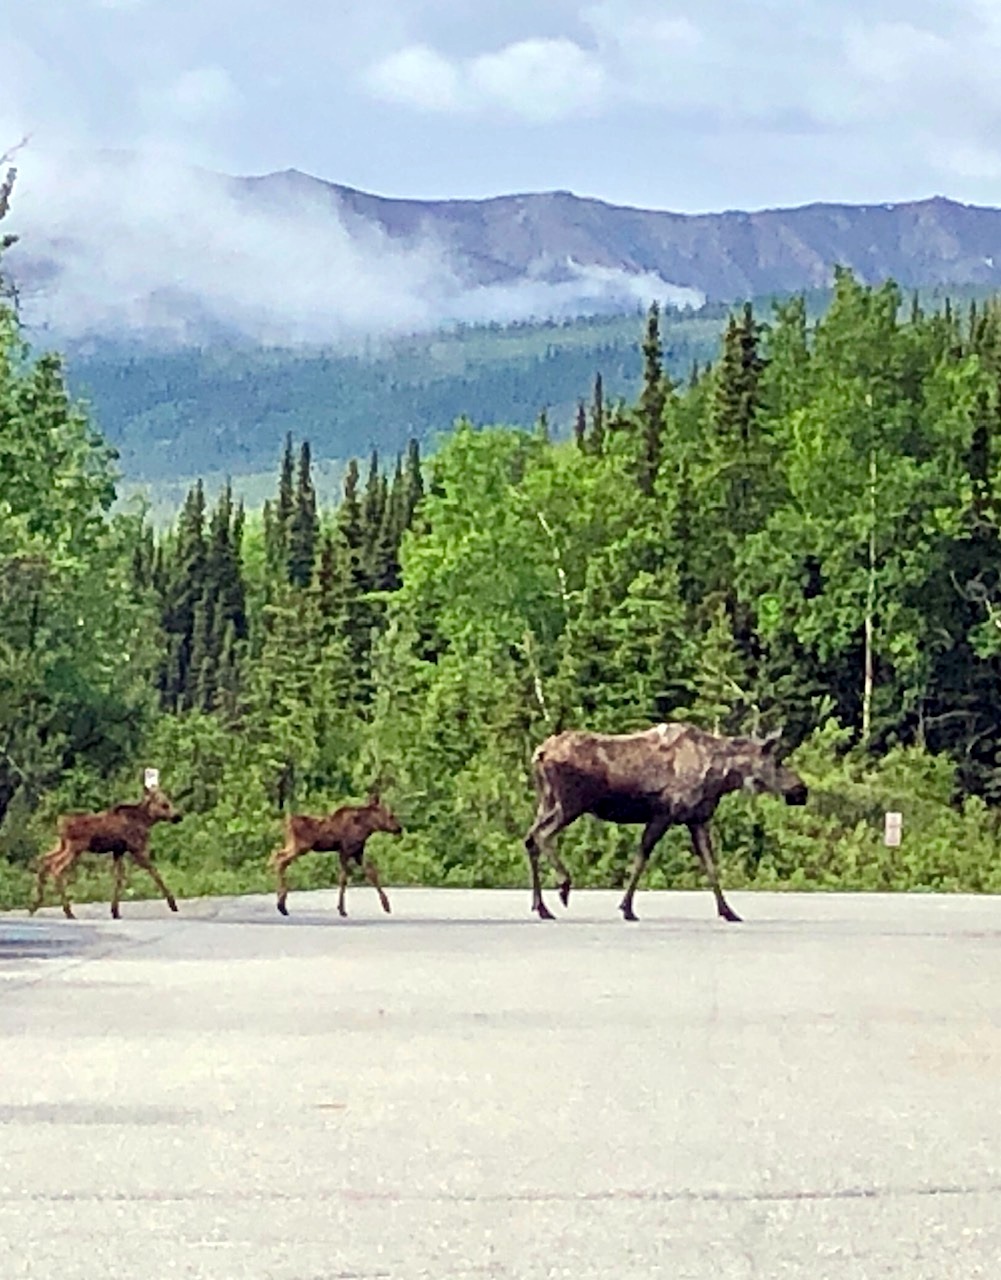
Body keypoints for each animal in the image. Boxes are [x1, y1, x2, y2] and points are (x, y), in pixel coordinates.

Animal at [30, 778, 184, 921]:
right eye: (164, 804)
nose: (178, 816)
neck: (146, 821)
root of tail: (60, 824)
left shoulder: (118, 851)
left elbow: (118, 878)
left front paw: (115, 911)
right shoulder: (136, 848)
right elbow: (154, 872)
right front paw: (173, 904)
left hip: (62, 845)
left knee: (44, 860)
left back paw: (35, 906)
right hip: (75, 847)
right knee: (56, 867)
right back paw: (68, 912)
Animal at [273, 788, 404, 921]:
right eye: (391, 815)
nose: (399, 828)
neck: (367, 828)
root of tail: (287, 824)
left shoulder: (358, 853)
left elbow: (372, 873)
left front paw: (386, 906)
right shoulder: (345, 851)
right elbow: (343, 879)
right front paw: (342, 910)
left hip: (294, 846)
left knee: (279, 858)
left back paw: (281, 904)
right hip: (300, 847)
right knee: (280, 859)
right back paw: (281, 904)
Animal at [524, 721, 808, 921]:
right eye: (778, 761)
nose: (801, 790)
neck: (722, 777)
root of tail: (539, 753)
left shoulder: (696, 819)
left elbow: (711, 866)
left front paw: (729, 911)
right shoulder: (665, 814)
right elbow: (641, 858)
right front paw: (626, 908)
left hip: (546, 801)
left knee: (530, 839)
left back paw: (542, 907)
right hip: (570, 804)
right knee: (541, 836)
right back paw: (563, 886)